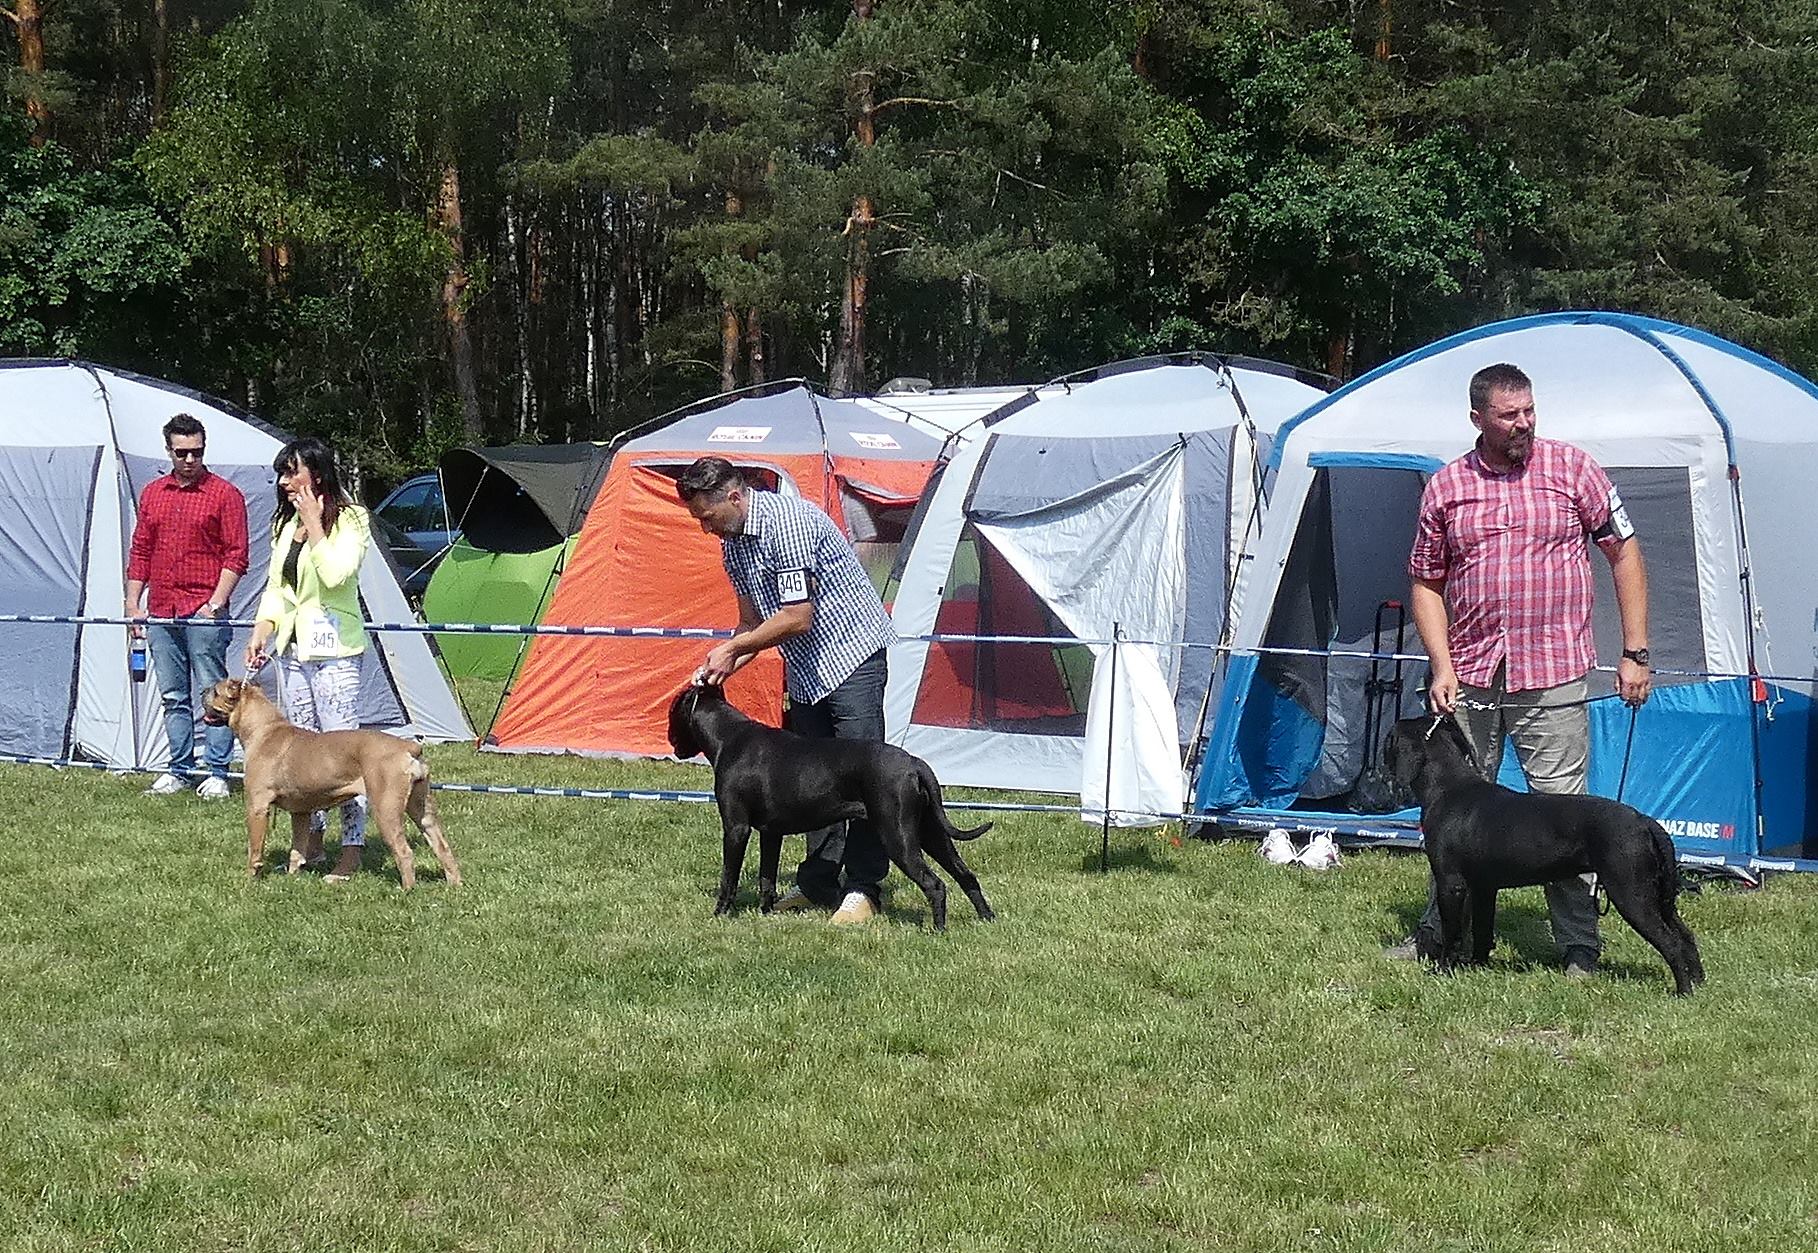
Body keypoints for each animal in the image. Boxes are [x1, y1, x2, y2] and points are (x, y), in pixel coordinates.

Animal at [202, 680, 461, 883]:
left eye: (215, 691)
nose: (202, 690)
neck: (265, 729)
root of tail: (409, 746)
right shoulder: (301, 813)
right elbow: (297, 848)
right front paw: (292, 877)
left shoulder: (257, 807)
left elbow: (255, 849)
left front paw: (250, 878)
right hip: (422, 810)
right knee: (442, 847)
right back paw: (454, 884)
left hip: (385, 810)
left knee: (404, 852)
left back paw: (406, 889)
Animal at [665, 683, 996, 927]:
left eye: (671, 711)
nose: (670, 740)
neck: (728, 737)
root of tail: (914, 763)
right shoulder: (770, 833)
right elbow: (766, 878)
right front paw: (767, 912)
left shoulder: (736, 828)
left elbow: (729, 877)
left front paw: (720, 913)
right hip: (930, 833)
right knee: (965, 875)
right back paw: (986, 918)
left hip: (898, 837)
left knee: (935, 884)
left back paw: (938, 929)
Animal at [1388, 712, 1701, 996]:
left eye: (1389, 737)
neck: (1447, 788)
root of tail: (1644, 821)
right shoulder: (1483, 888)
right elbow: (1482, 929)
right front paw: (1476, 965)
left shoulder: (1451, 884)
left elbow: (1452, 932)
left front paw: (1442, 969)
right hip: (1658, 896)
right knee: (1685, 935)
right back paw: (1698, 981)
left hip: (1631, 895)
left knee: (1671, 943)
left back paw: (1682, 991)